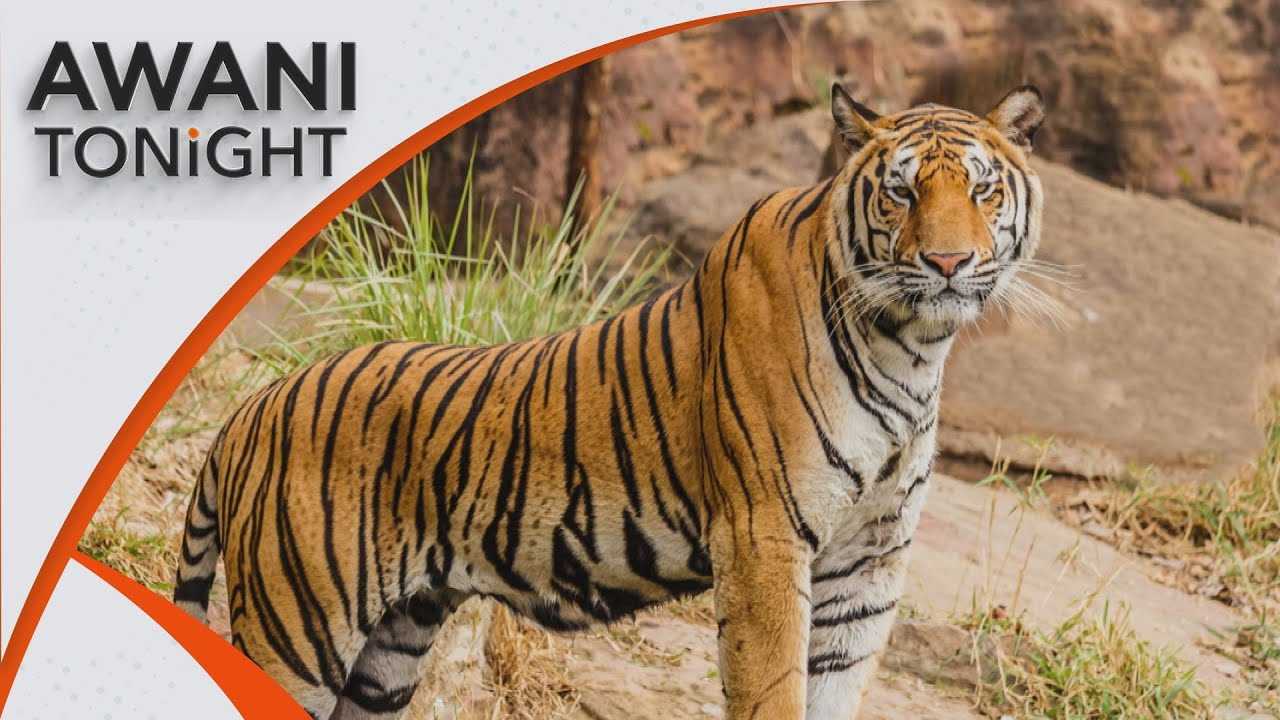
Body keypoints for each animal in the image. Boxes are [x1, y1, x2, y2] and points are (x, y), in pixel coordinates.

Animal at [174, 82, 1046, 719]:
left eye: (983, 190)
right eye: (901, 192)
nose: (947, 262)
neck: (911, 348)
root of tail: (250, 411)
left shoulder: (870, 560)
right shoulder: (763, 539)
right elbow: (774, 691)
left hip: (390, 649)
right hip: (300, 631)